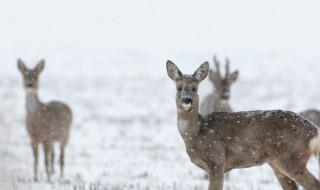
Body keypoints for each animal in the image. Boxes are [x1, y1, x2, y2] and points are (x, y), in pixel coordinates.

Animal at [166, 61, 320, 190]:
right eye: (178, 88)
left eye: (195, 88)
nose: (187, 100)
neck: (196, 133)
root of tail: (314, 130)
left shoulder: (217, 160)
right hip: (277, 164)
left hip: (292, 158)